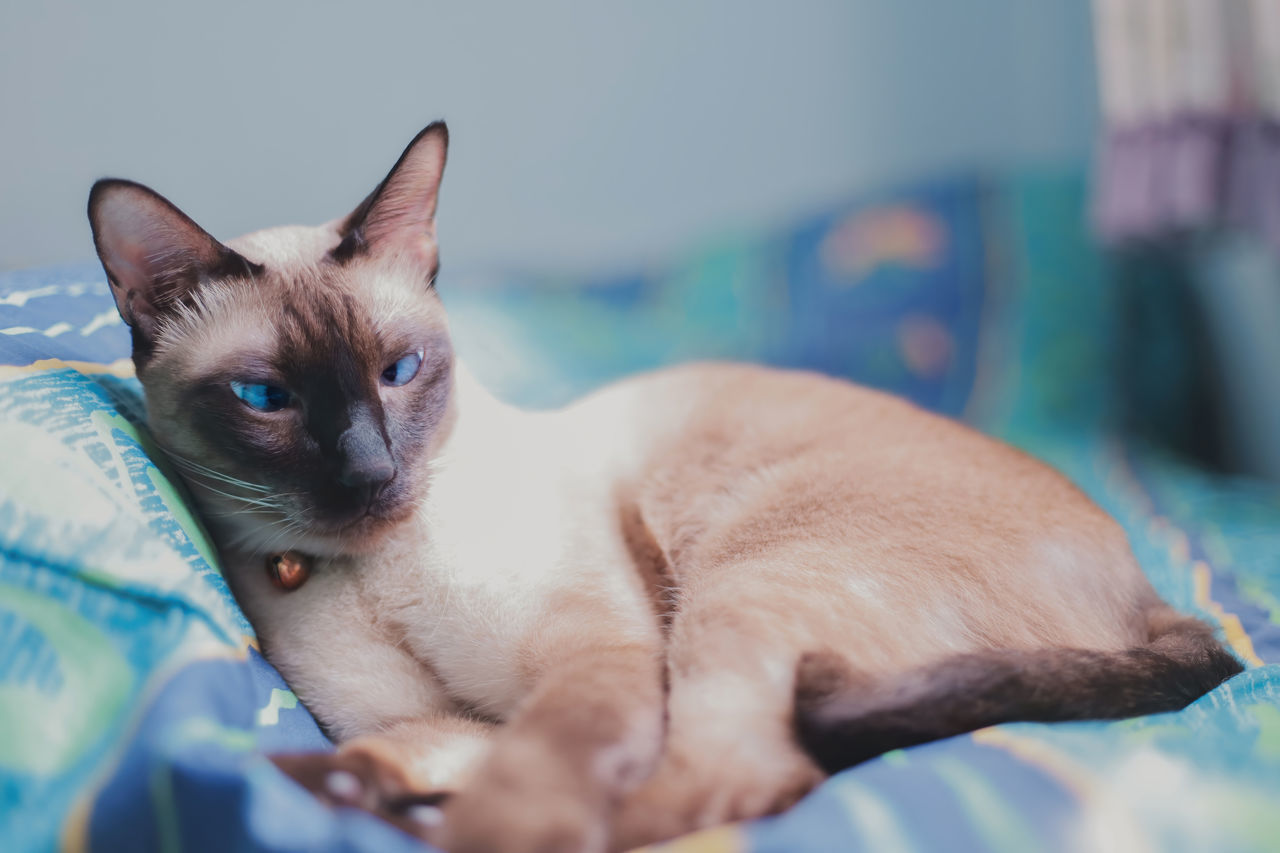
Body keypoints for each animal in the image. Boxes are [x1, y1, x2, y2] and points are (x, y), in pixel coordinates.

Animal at [87, 121, 1239, 850]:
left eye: (399, 371)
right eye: (266, 397)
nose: (372, 469)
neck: (377, 570)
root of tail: (1152, 589)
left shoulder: (596, 665)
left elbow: (544, 782)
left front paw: (492, 824)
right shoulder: (435, 720)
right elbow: (439, 748)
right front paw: (361, 784)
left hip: (742, 584)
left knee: (750, 779)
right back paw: (335, 791)